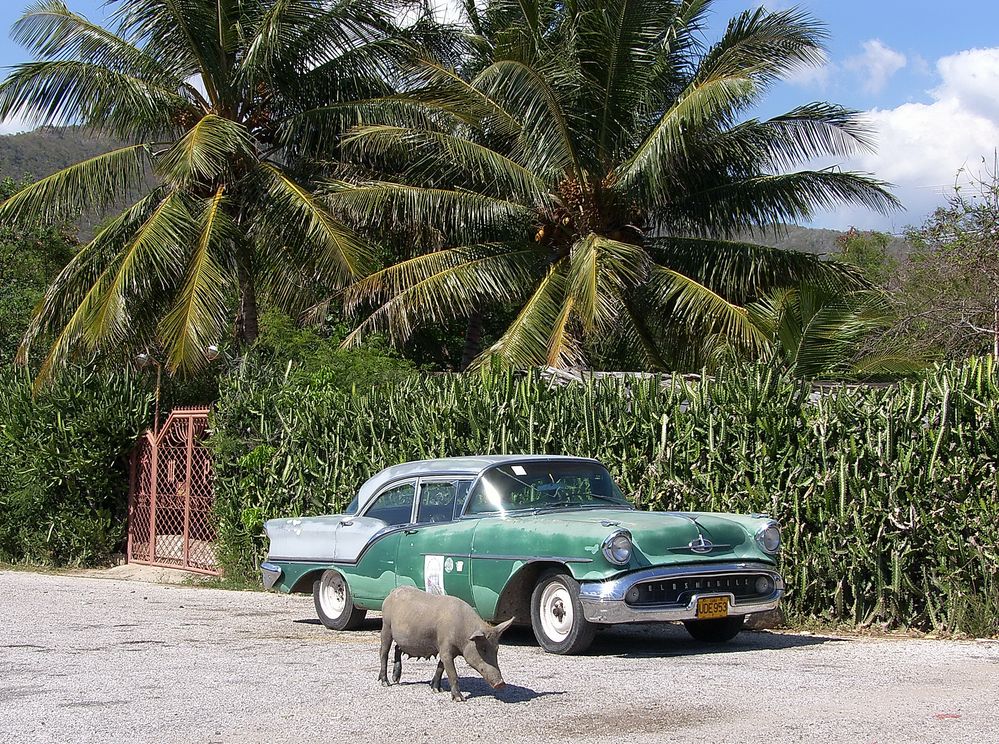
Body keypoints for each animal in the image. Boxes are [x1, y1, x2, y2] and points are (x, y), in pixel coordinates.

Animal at [376, 584, 516, 700]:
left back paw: (396, 679)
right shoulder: (445, 646)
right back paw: (386, 683)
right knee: (384, 652)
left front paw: (437, 690)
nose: (501, 683)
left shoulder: (448, 650)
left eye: (497, 649)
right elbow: (452, 673)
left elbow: (441, 667)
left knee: (397, 648)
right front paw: (460, 699)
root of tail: (392, 592)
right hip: (386, 626)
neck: (463, 632)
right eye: (483, 649)